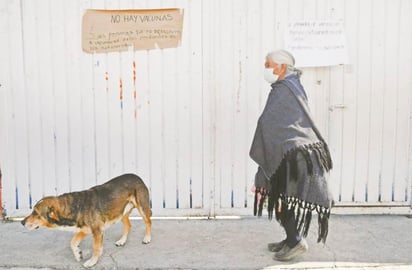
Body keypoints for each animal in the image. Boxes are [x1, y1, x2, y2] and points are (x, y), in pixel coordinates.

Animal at [21, 173, 153, 268]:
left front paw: (92, 262)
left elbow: (96, 248)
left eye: (35, 213)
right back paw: (122, 241)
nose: (22, 222)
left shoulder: (97, 231)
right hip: (120, 213)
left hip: (141, 207)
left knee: (148, 222)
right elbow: (73, 242)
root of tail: (136, 176)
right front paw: (78, 255)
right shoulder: (85, 230)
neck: (74, 207)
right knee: (128, 225)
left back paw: (147, 238)